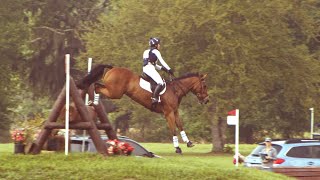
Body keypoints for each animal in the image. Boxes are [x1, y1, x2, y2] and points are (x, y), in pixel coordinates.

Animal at [76, 64, 209, 153]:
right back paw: (93, 101)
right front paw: (177, 148)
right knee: (96, 86)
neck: (175, 90)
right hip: (115, 93)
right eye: (205, 85)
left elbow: (180, 126)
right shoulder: (168, 113)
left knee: (97, 85)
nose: (207, 100)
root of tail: (113, 68)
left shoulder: (175, 111)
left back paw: (93, 101)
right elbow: (173, 129)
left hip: (113, 91)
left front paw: (189, 142)